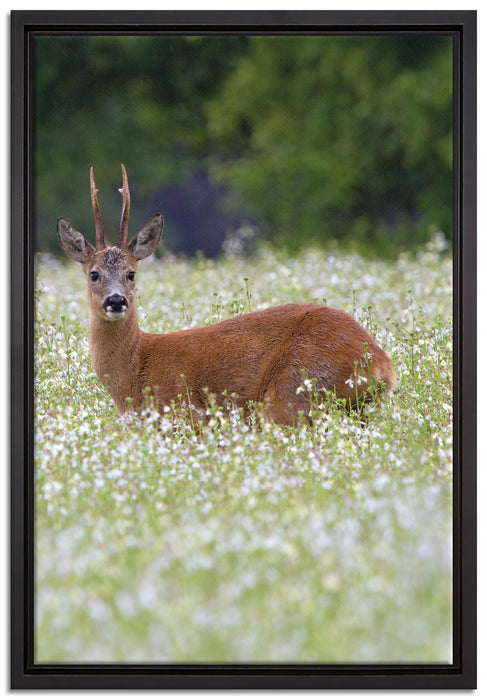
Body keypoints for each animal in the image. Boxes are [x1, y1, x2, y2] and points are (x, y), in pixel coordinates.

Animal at [57, 165, 397, 426]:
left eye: (131, 273)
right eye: (94, 273)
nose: (116, 301)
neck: (136, 370)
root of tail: (382, 364)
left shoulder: (184, 417)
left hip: (294, 393)